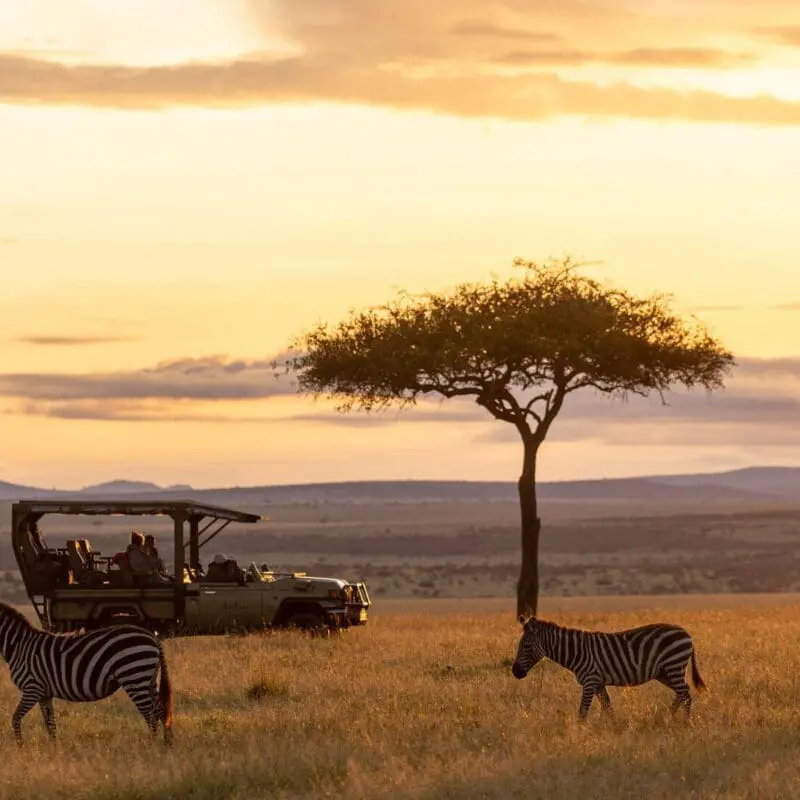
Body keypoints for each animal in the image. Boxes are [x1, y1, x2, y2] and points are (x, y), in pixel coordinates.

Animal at [0, 602, 173, 745]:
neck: (19, 647)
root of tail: (151, 636)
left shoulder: (32, 688)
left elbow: (15, 718)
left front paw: (21, 746)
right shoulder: (44, 693)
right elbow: (50, 724)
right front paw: (55, 749)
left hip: (134, 676)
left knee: (150, 714)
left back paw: (150, 746)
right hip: (148, 679)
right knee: (160, 710)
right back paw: (166, 746)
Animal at [511, 615, 706, 719]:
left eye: (526, 646)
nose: (515, 672)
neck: (576, 652)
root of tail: (686, 633)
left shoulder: (590, 681)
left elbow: (582, 711)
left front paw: (580, 733)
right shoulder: (598, 683)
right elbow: (608, 708)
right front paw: (615, 727)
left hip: (673, 666)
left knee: (685, 693)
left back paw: (685, 721)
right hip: (664, 672)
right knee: (683, 691)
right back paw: (667, 716)